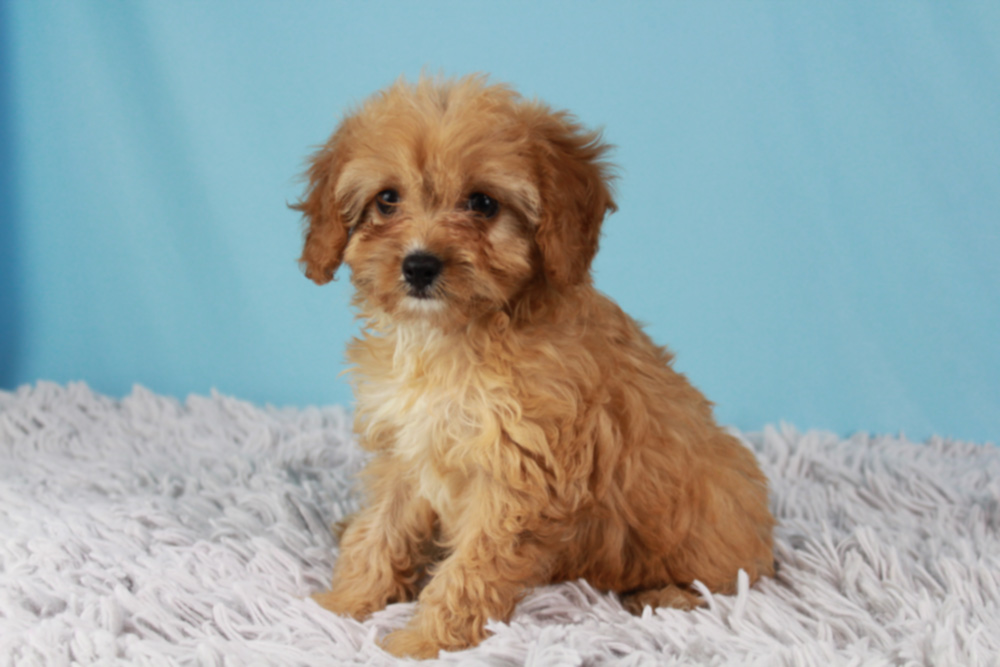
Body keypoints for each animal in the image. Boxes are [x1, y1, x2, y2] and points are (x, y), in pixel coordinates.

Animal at [296, 75, 775, 658]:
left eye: (482, 203)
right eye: (387, 199)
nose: (419, 265)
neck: (453, 337)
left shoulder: (519, 479)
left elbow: (471, 569)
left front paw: (424, 641)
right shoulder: (407, 451)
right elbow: (380, 530)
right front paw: (343, 605)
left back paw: (663, 595)